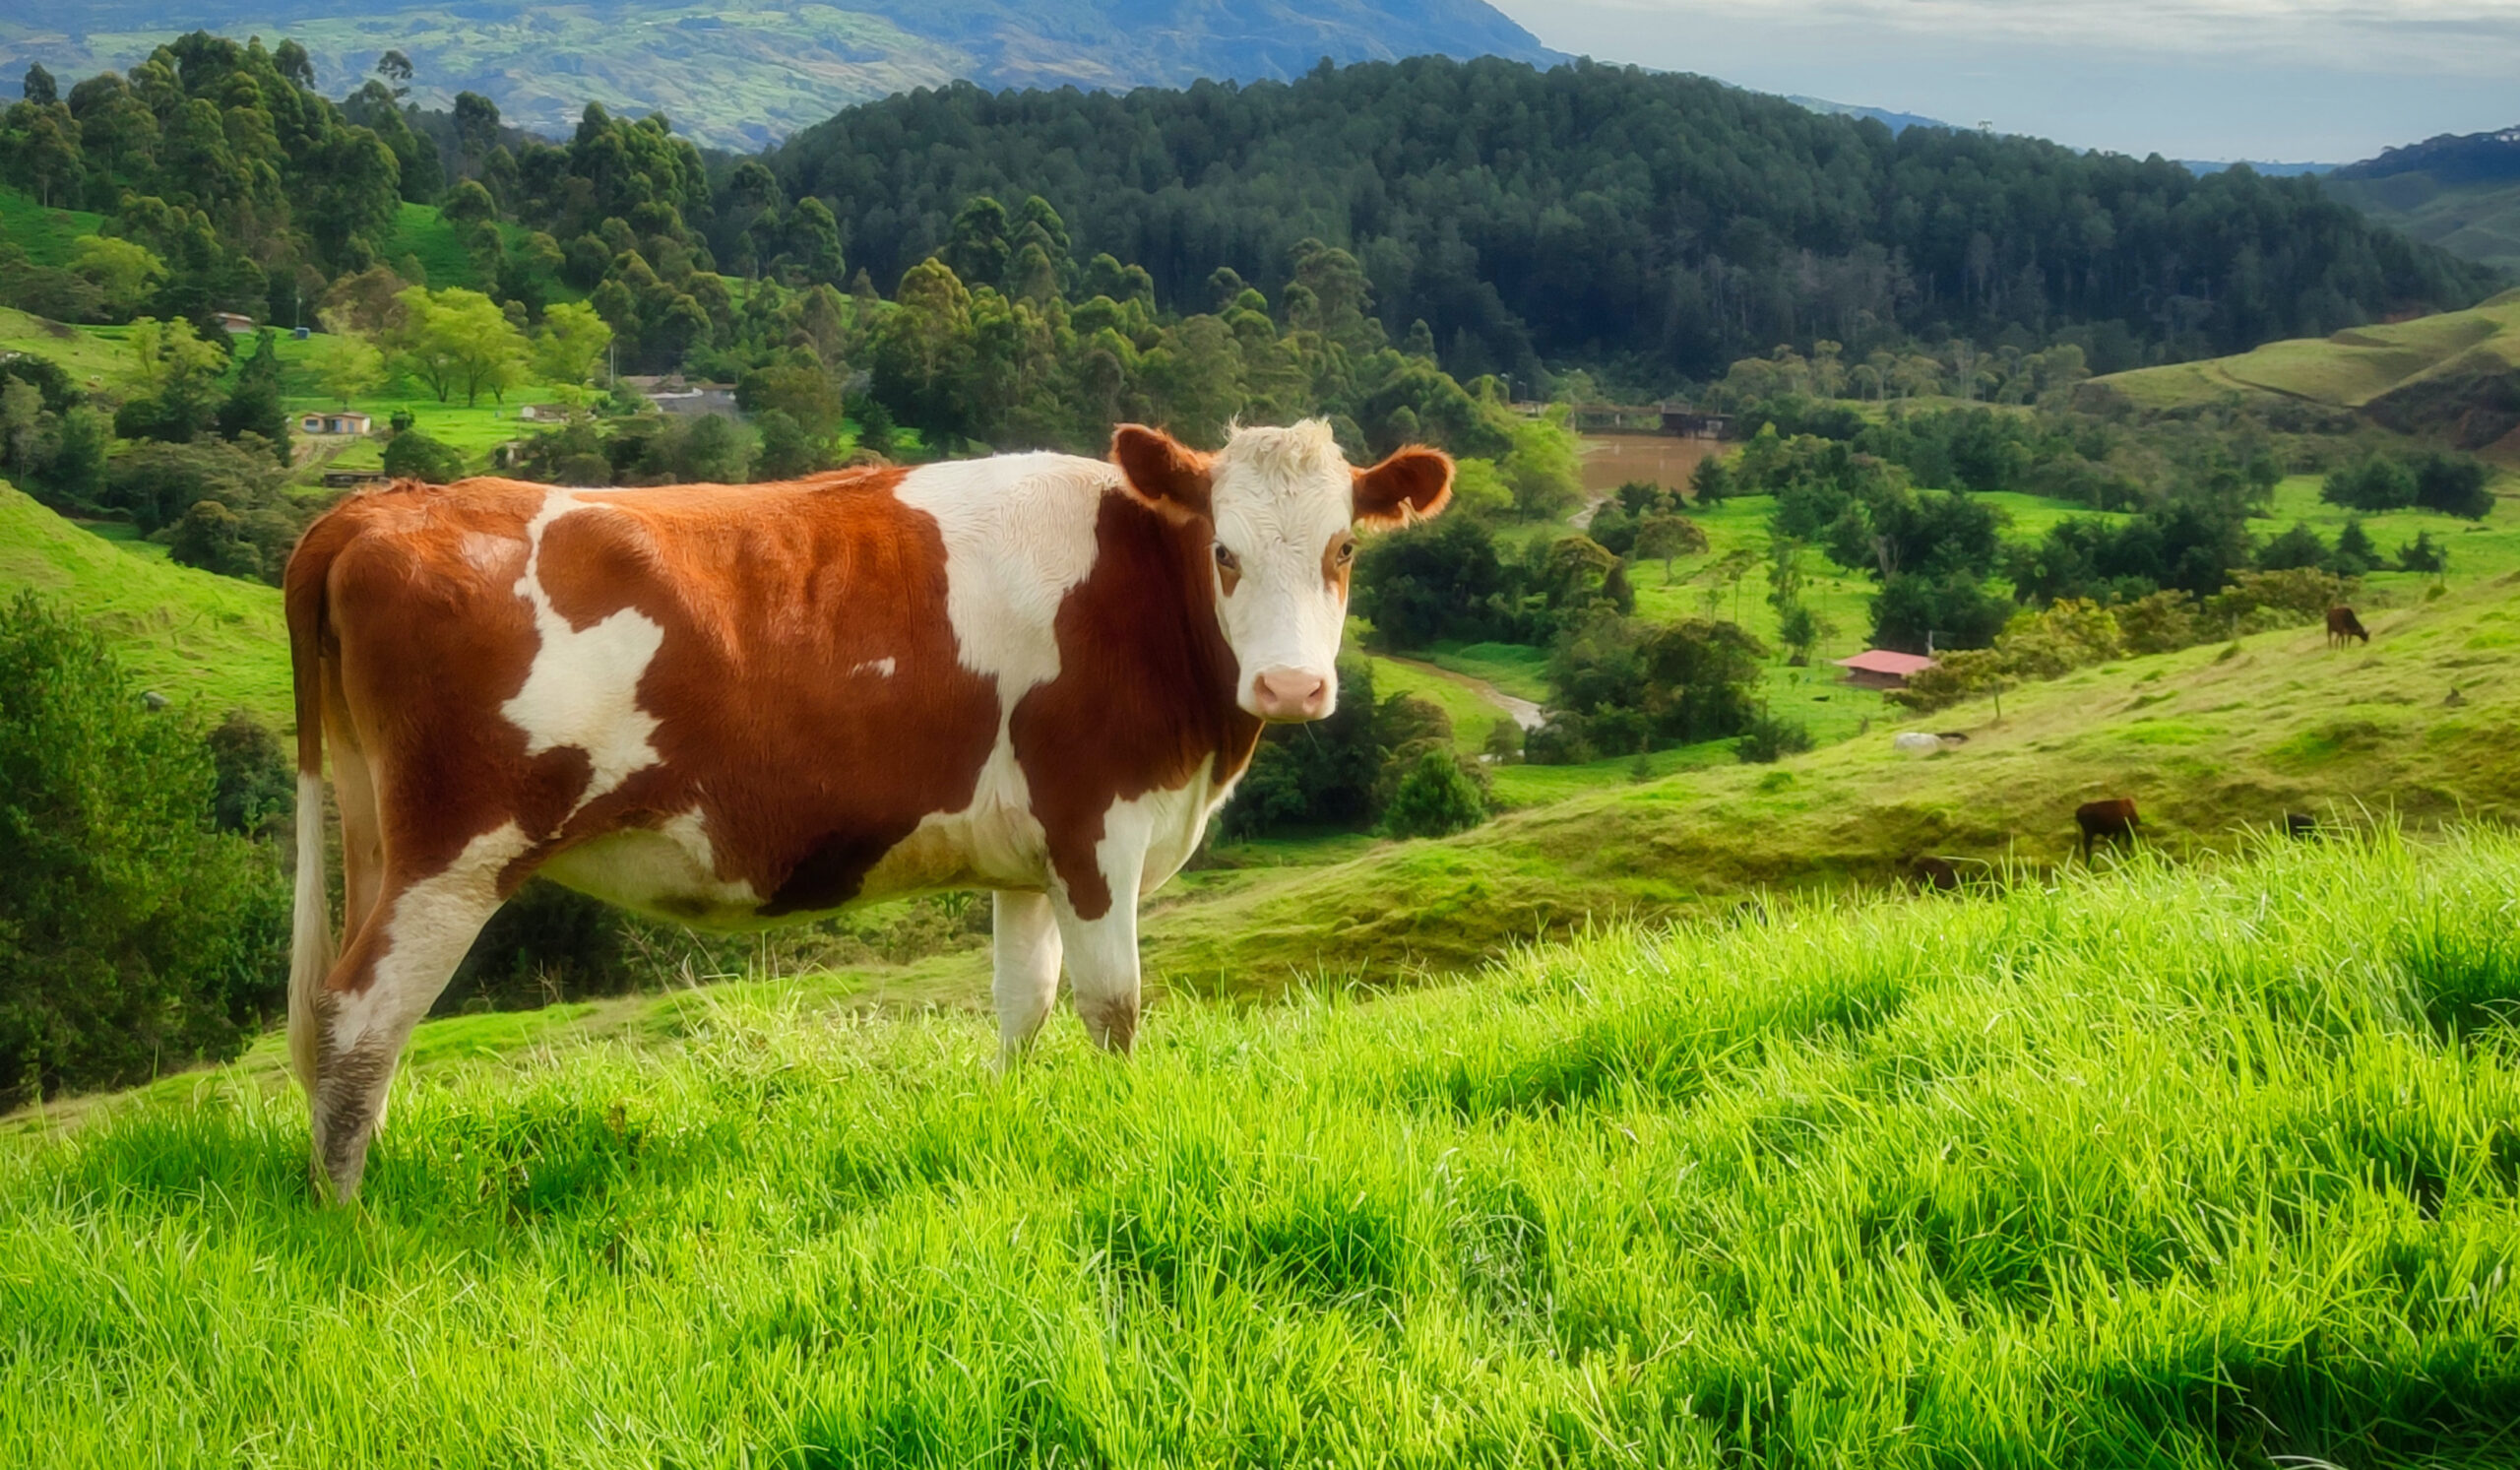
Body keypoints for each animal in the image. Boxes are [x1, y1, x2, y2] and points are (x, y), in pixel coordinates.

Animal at [278, 420, 1461, 1199]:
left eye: (1343, 548)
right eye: (1224, 550)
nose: (1292, 687)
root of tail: (386, 502)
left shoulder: (1028, 858)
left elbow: (1023, 1004)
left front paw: (1011, 1119)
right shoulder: (1097, 827)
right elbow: (1112, 1007)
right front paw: (1125, 1132)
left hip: (376, 831)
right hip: (454, 850)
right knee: (359, 1018)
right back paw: (351, 1215)